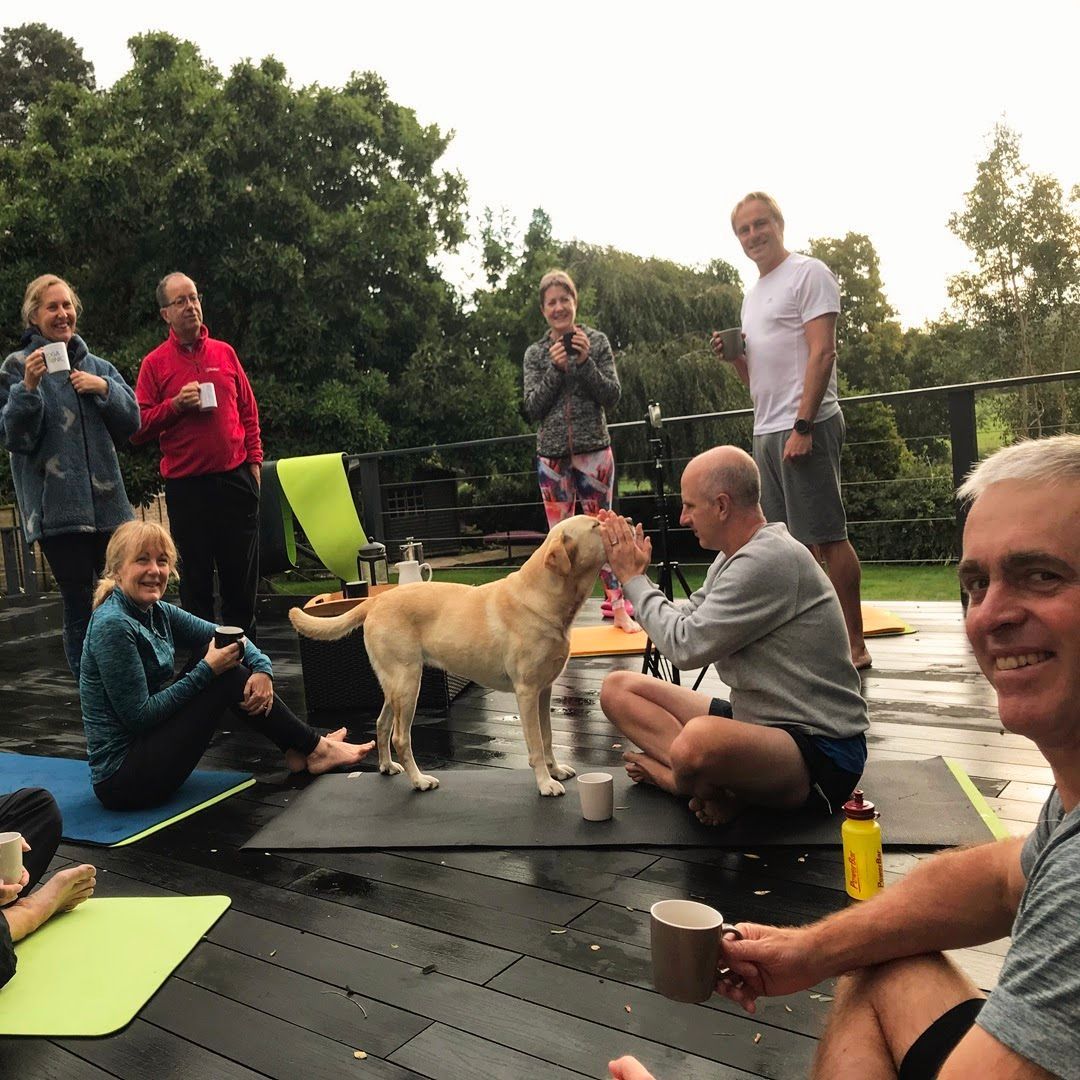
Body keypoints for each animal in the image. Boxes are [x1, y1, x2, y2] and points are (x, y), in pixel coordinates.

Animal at [289, 518, 609, 799]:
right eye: (596, 525)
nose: (620, 519)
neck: (544, 595)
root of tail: (377, 599)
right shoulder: (527, 691)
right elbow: (536, 745)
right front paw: (545, 783)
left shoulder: (545, 690)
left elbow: (548, 737)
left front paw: (555, 770)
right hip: (408, 682)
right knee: (400, 737)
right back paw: (419, 781)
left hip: (394, 685)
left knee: (381, 724)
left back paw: (387, 766)